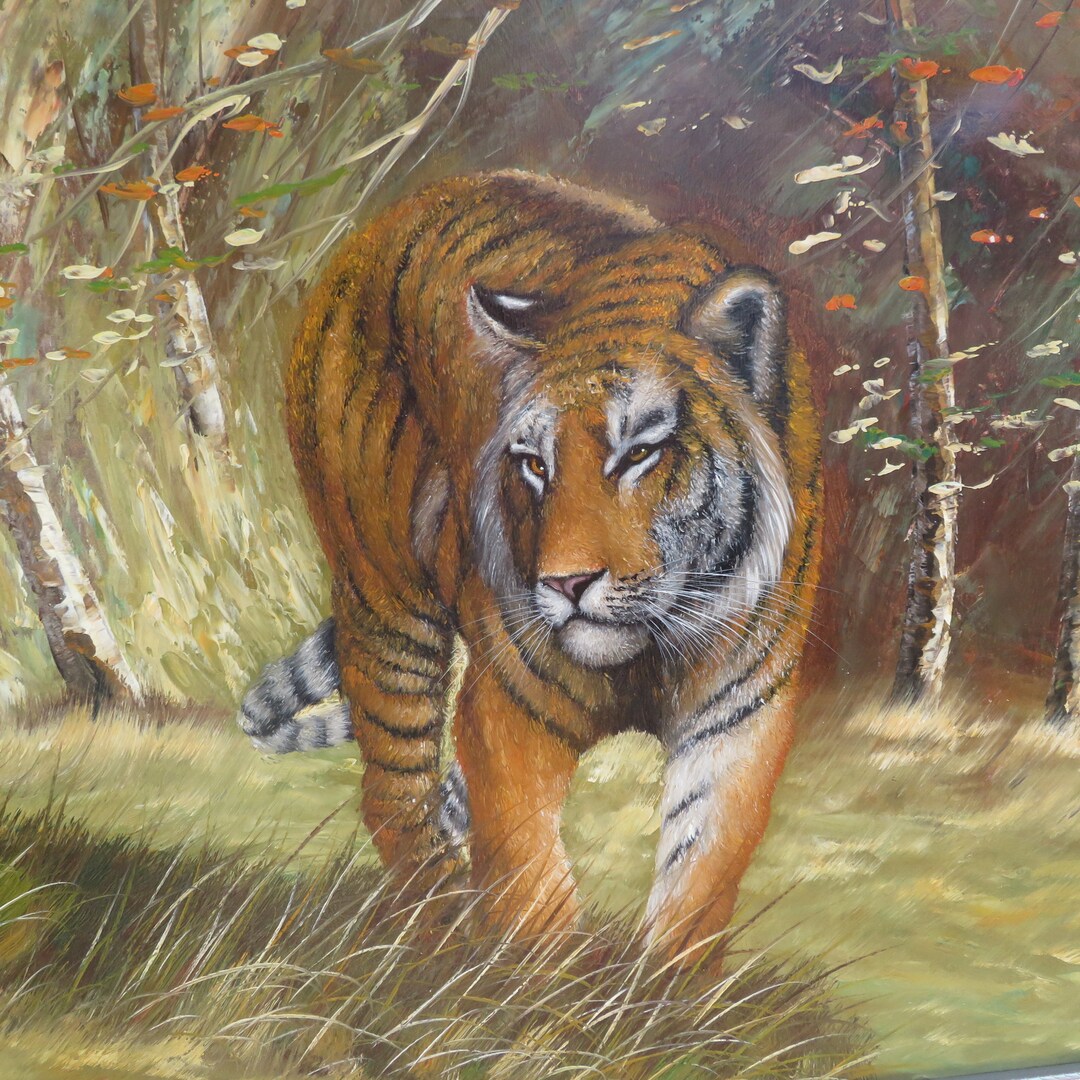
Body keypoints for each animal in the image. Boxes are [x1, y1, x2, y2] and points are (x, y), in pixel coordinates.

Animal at [240, 171, 822, 953]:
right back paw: (434, 941)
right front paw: (537, 980)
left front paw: (664, 983)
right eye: (535, 463)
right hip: (386, 604)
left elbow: (698, 881)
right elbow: (530, 881)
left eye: (639, 452)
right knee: (395, 795)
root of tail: (380, 226)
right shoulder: (506, 709)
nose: (566, 582)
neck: (648, 653)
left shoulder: (740, 716)